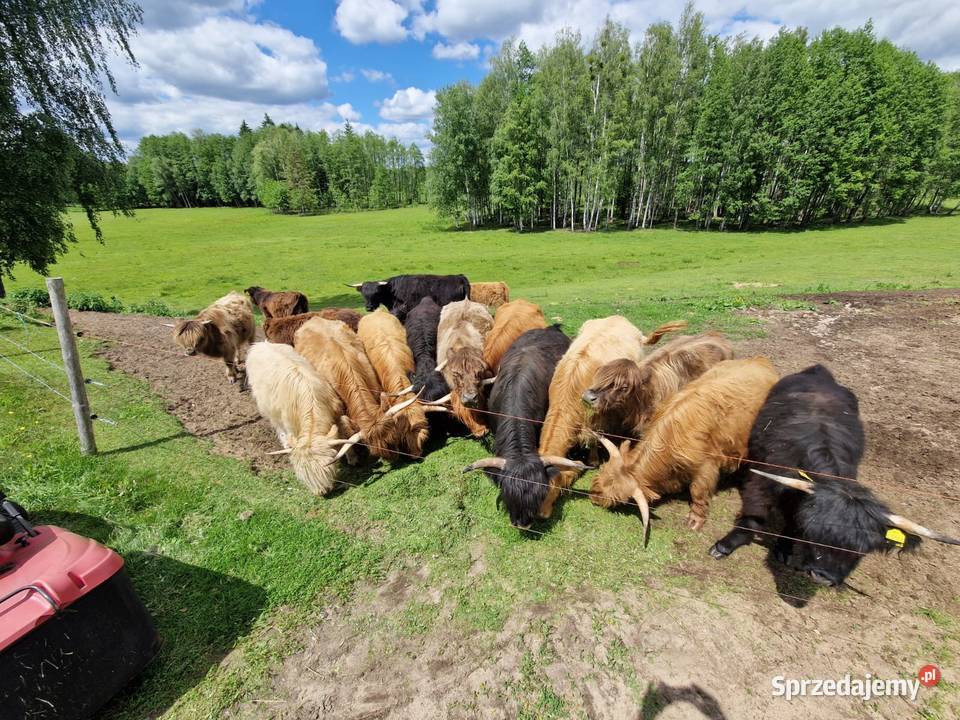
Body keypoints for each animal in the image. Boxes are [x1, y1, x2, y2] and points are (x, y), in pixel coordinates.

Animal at [246, 342, 353, 495]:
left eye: (327, 469)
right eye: (303, 476)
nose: (322, 492)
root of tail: (260, 344)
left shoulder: (338, 413)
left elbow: (344, 433)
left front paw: (352, 458)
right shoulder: (290, 425)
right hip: (268, 408)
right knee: (277, 425)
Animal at [536, 316, 688, 519]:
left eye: (552, 488)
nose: (541, 515)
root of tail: (618, 318)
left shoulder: (598, 416)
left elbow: (594, 437)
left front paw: (593, 460)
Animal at [590, 357, 779, 543]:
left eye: (619, 500)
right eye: (600, 474)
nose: (593, 496)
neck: (670, 437)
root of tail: (761, 360)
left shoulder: (706, 466)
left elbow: (698, 491)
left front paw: (696, 520)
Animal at [709, 364, 960, 586]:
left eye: (859, 551)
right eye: (819, 536)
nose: (823, 577)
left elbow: (794, 524)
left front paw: (785, 549)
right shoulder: (763, 481)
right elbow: (754, 516)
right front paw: (725, 546)